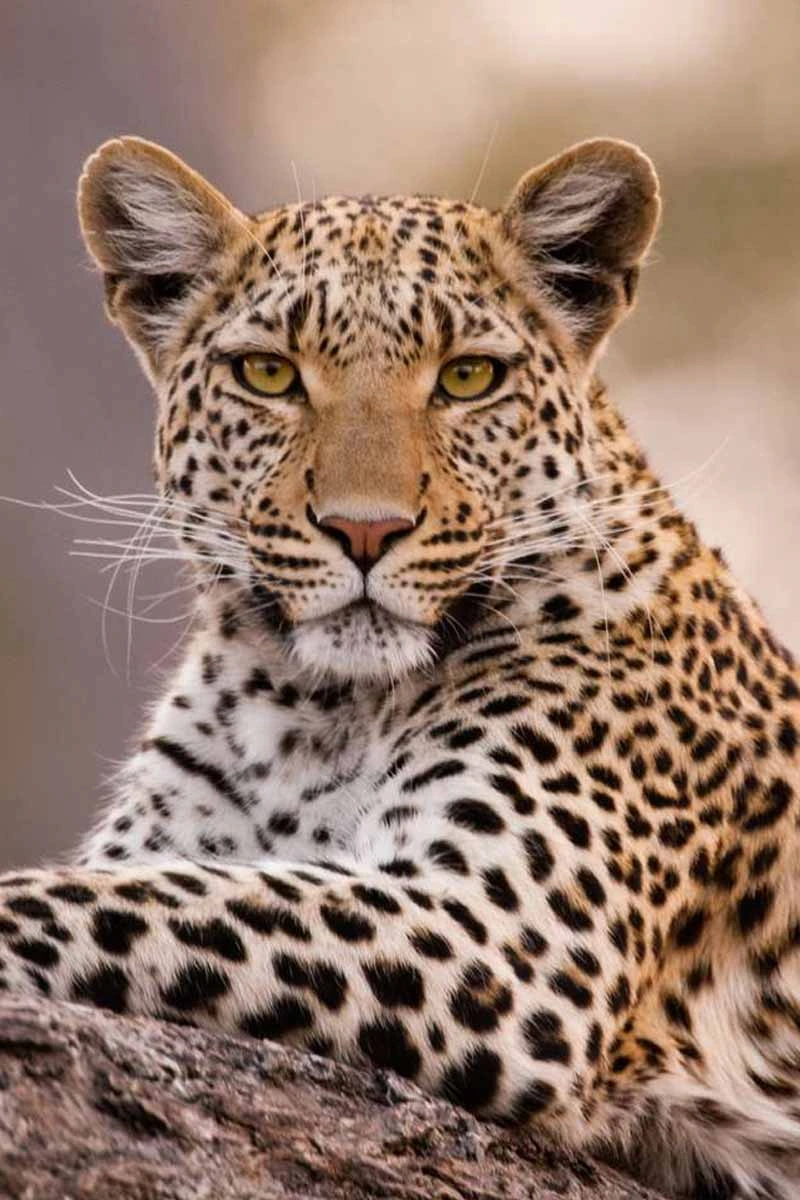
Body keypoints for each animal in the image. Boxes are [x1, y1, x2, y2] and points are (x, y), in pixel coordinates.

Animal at [1, 134, 798, 1200]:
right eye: (269, 374)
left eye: (467, 378)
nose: (365, 530)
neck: (310, 710)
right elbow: (144, 885)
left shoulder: (499, 935)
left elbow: (136, 902)